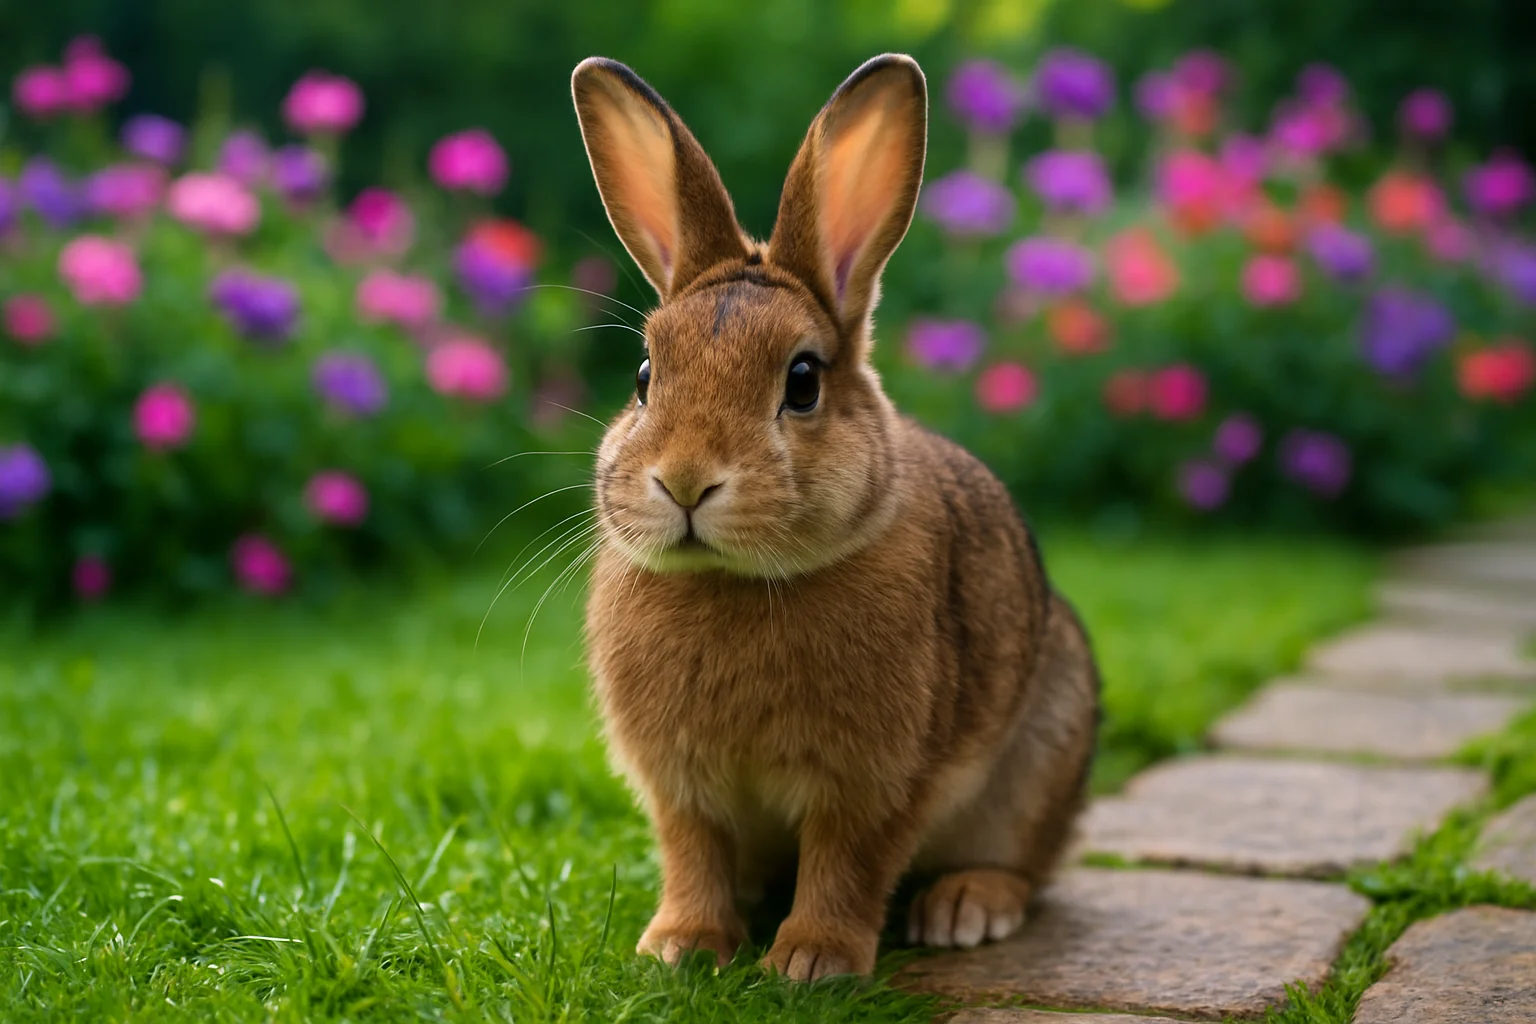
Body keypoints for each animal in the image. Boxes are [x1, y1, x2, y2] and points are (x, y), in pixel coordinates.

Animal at [571, 52, 1100, 982]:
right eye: (643, 376)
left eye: (803, 381)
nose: (685, 481)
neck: (734, 581)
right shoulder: (679, 785)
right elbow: (692, 853)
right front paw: (681, 946)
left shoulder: (877, 782)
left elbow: (847, 861)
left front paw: (812, 961)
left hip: (1041, 758)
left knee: (1024, 866)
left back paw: (965, 907)